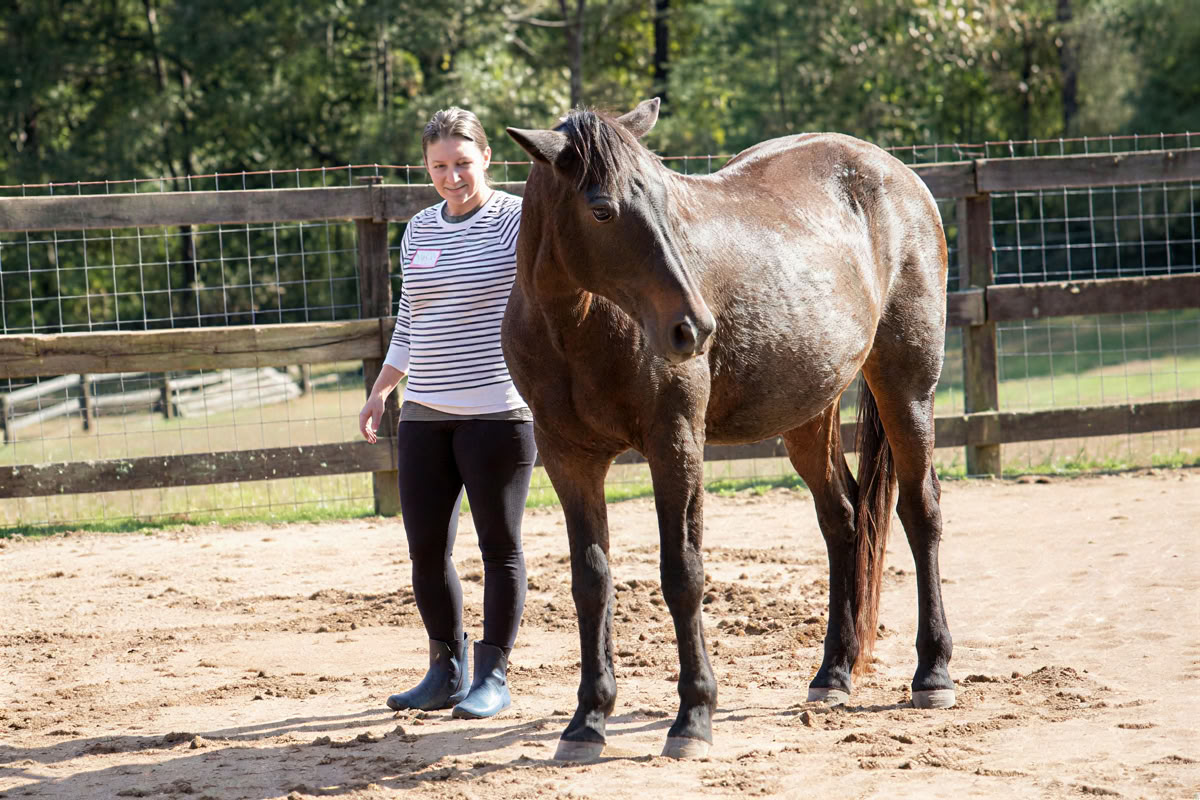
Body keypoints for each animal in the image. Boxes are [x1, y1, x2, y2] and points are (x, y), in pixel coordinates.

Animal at [503, 98, 956, 760]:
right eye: (602, 210)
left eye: (664, 201)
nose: (693, 327)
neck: (578, 326)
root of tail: (896, 173)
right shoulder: (569, 459)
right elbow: (591, 581)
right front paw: (587, 720)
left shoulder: (675, 445)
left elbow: (682, 574)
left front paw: (693, 716)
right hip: (809, 413)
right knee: (844, 519)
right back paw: (833, 672)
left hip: (906, 386)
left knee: (920, 511)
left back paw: (933, 671)